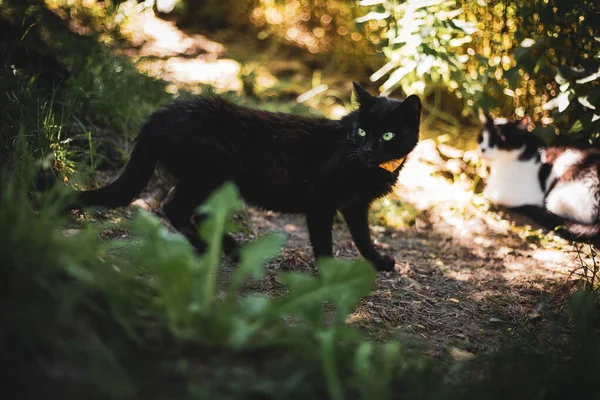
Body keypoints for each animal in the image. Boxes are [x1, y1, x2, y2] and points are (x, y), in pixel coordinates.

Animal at [71, 83, 422, 270]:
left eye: (387, 135)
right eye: (361, 131)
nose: (367, 149)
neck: (370, 167)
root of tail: (161, 113)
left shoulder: (355, 205)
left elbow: (363, 237)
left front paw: (378, 261)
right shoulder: (321, 201)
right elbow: (324, 241)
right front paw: (329, 274)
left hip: (211, 180)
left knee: (190, 212)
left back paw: (222, 248)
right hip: (213, 171)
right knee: (174, 208)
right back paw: (225, 249)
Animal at [478, 112, 600, 242]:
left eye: (499, 141)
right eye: (481, 138)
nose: (483, 149)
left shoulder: (514, 195)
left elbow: (490, 195)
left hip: (559, 197)